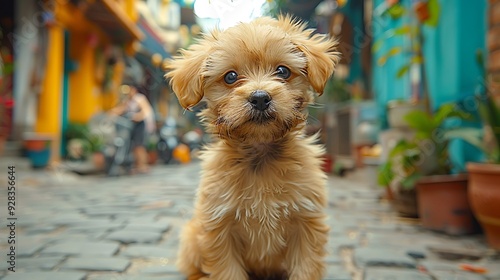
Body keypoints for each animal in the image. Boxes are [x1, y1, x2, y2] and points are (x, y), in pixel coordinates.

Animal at [166, 15, 338, 280]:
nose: (259, 98)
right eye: (230, 77)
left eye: (282, 71)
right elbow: (227, 271)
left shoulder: (307, 223)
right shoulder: (219, 228)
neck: (261, 154)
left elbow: (305, 268)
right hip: (191, 237)